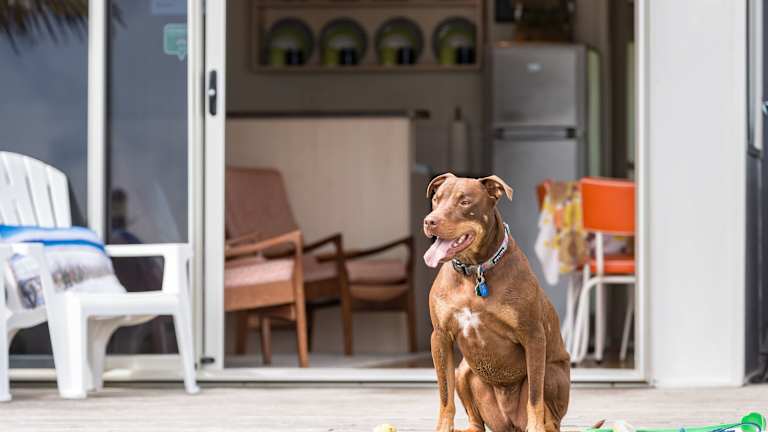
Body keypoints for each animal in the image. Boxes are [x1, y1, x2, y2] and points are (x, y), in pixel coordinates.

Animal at [424, 173, 570, 432]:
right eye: (436, 199)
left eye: (464, 202)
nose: (429, 221)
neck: (474, 271)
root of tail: (508, 423)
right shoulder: (440, 336)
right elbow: (444, 395)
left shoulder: (533, 336)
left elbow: (535, 397)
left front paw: (536, 426)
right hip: (463, 371)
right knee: (477, 423)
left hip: (552, 372)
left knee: (549, 414)